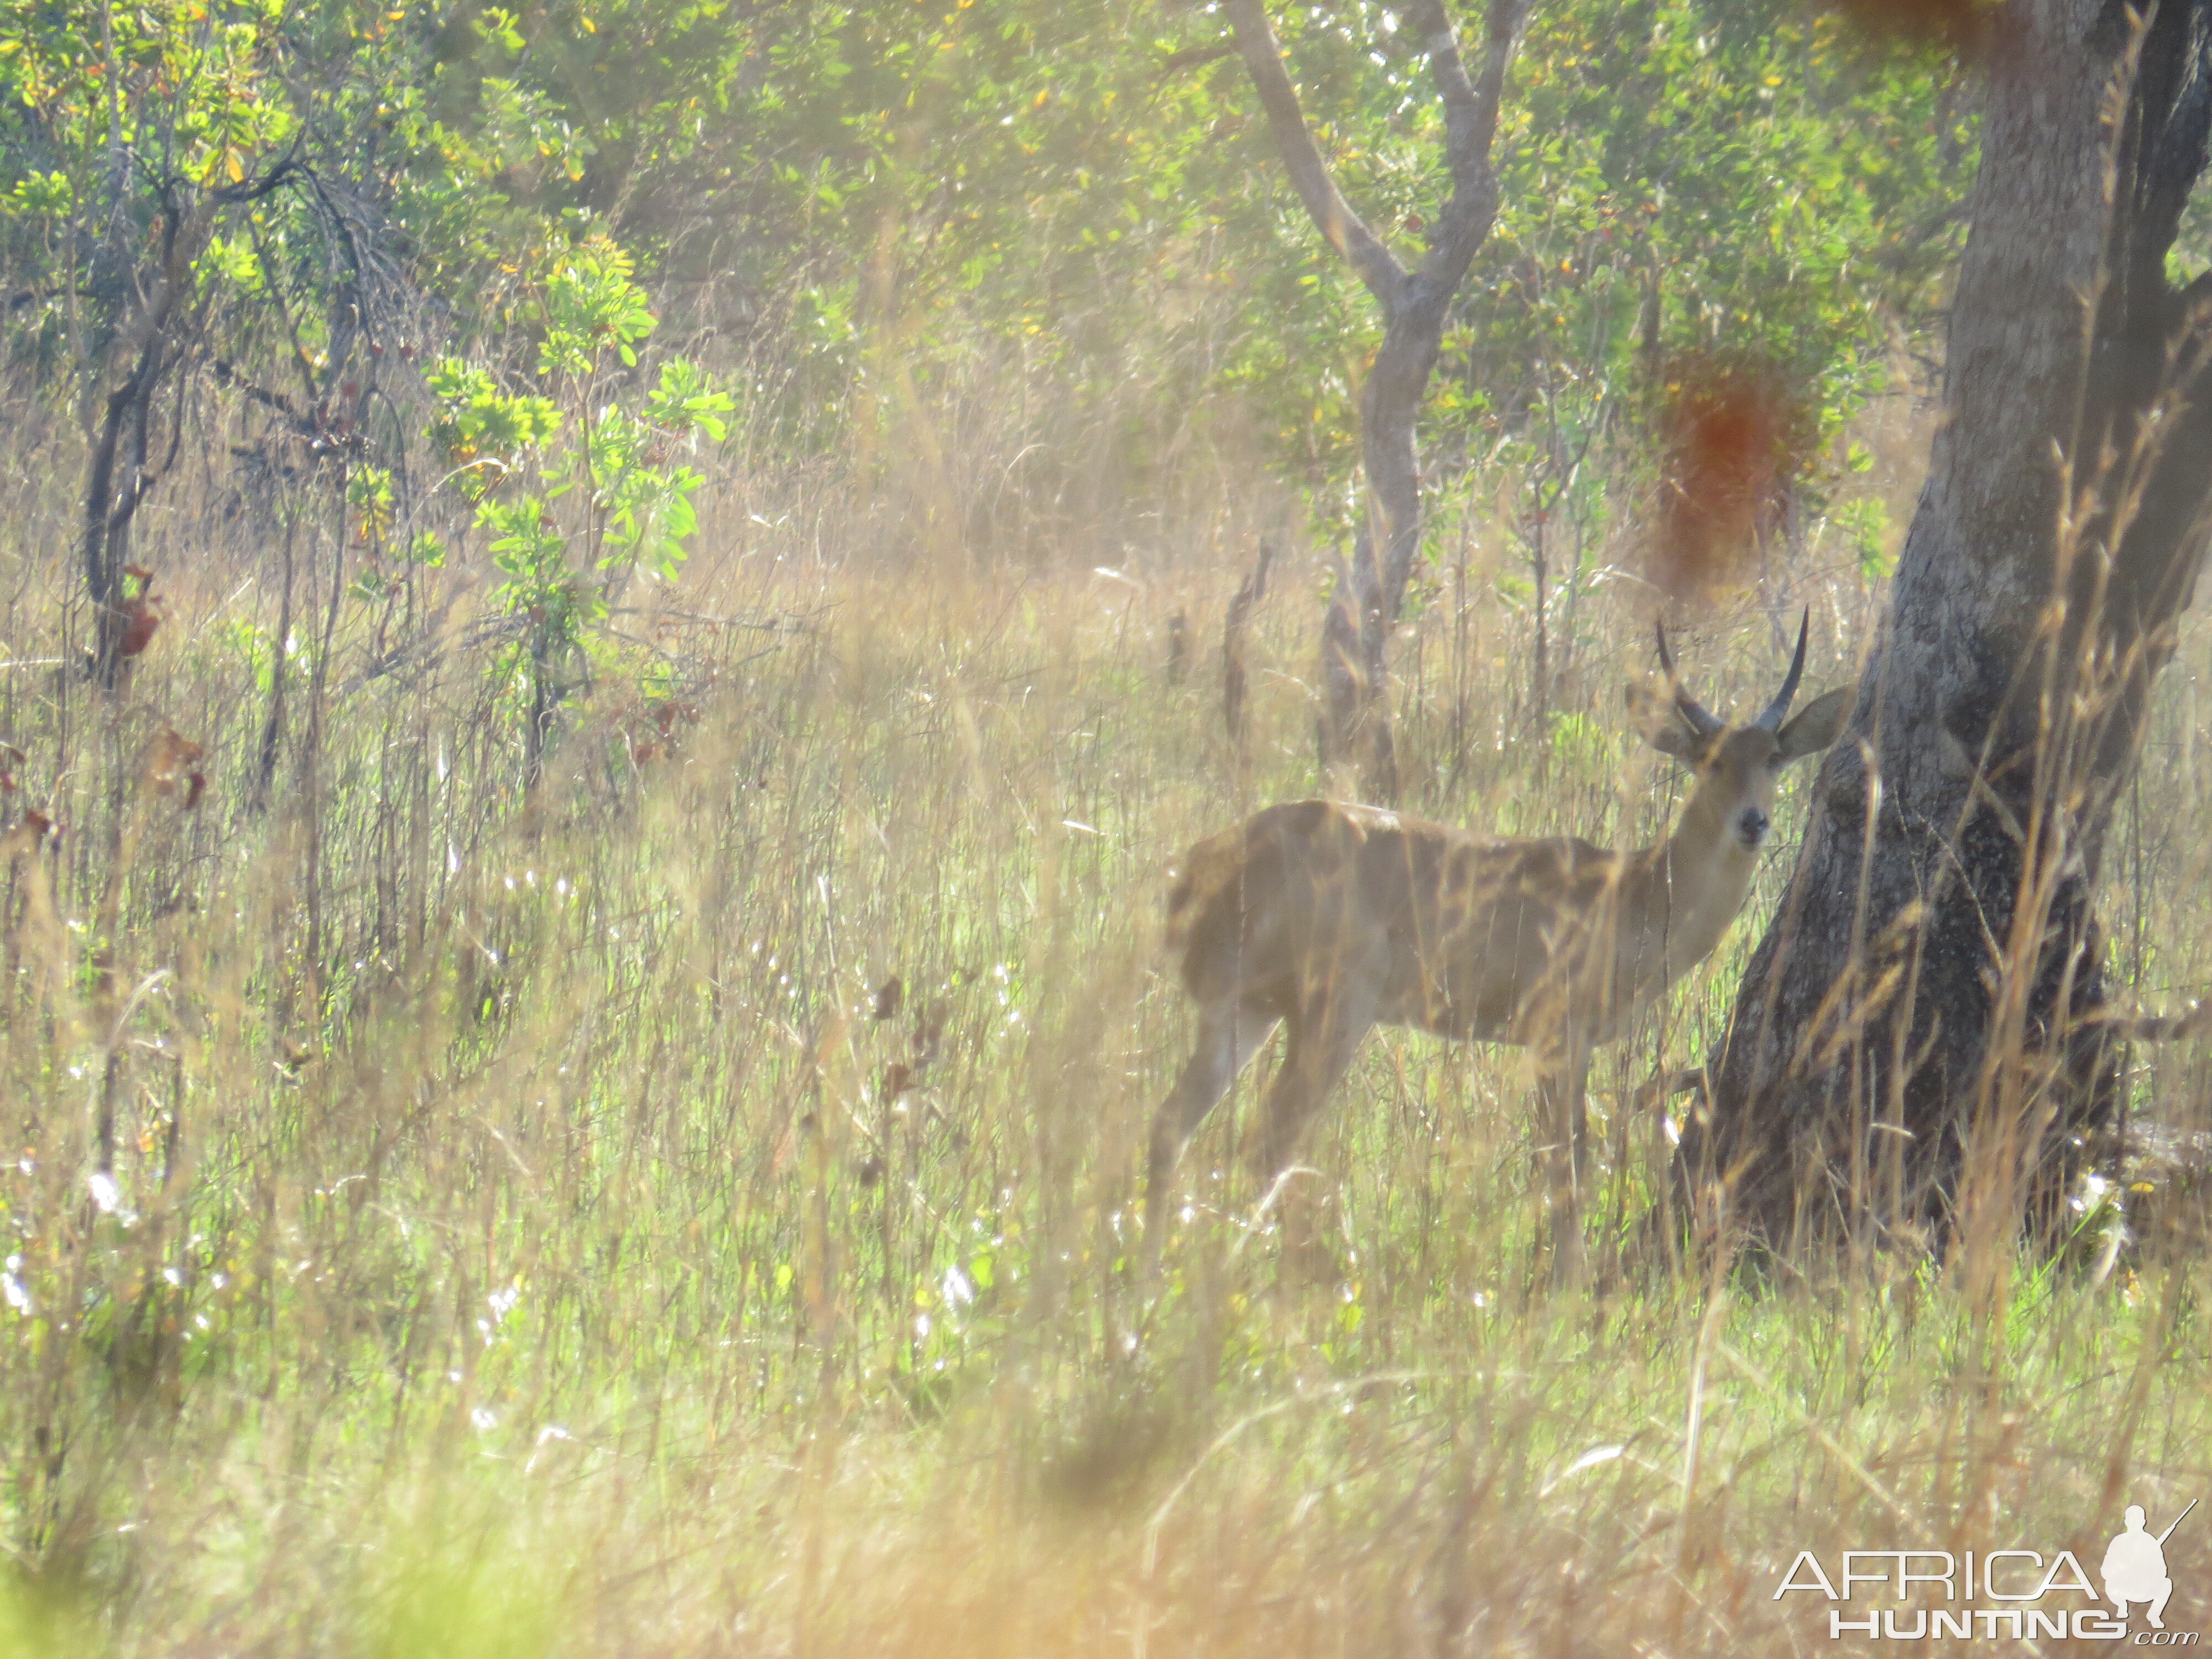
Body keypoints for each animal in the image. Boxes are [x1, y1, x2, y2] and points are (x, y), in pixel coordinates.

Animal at [1141, 624, 1849, 1283]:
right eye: (1707, 757)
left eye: (1774, 755)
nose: (1753, 822)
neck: (1634, 892)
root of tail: (1206, 864)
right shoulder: (1560, 1038)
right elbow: (1570, 1162)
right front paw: (1567, 1283)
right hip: (1331, 1016)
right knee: (1271, 1135)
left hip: (1245, 1014)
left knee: (1175, 1123)